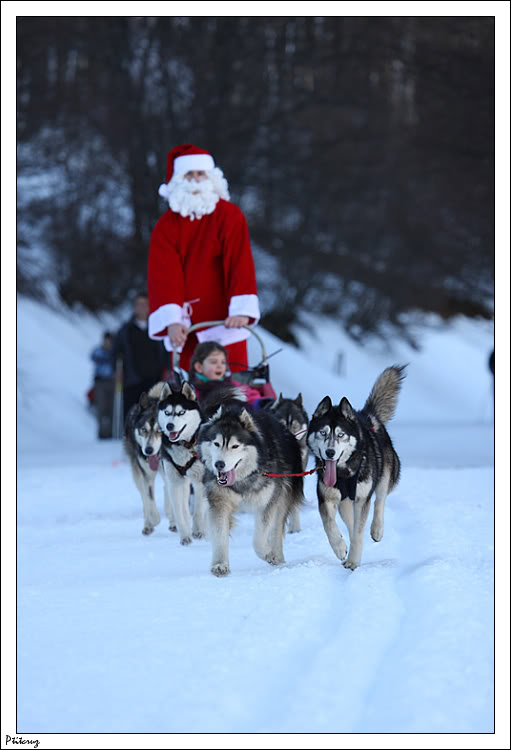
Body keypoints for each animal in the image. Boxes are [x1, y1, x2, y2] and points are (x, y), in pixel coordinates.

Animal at [310, 368, 406, 572]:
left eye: (341, 435)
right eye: (323, 433)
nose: (330, 452)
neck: (344, 473)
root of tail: (367, 415)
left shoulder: (362, 498)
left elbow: (359, 530)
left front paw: (353, 561)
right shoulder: (326, 497)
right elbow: (329, 524)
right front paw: (340, 548)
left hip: (384, 475)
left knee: (380, 501)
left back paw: (377, 529)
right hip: (345, 502)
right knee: (351, 522)